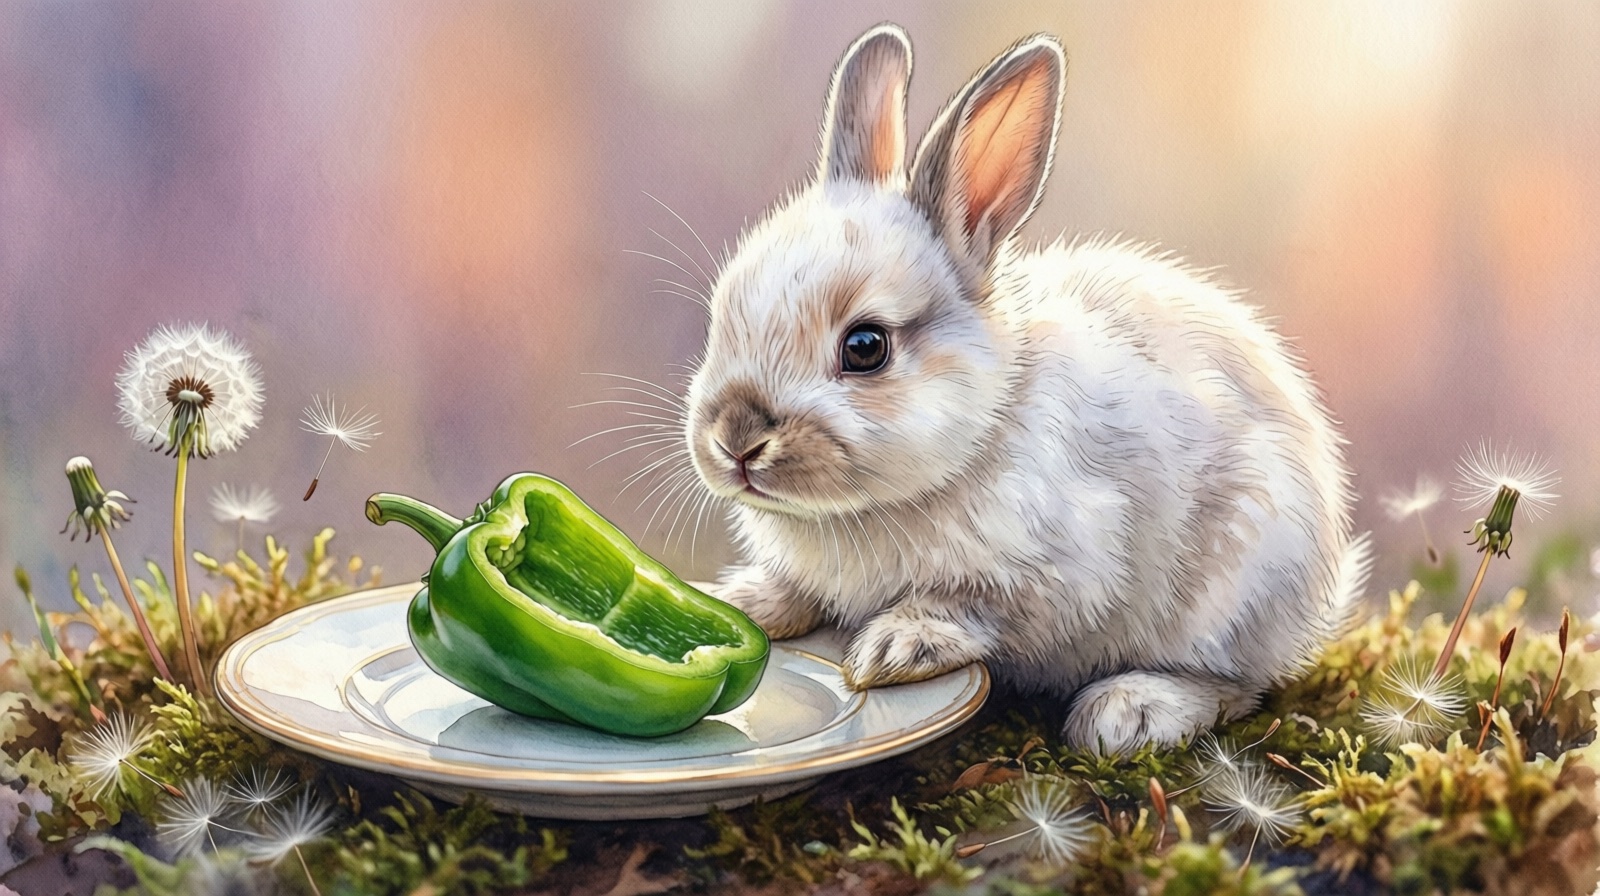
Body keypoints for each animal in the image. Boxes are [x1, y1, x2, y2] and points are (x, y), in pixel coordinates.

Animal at [682, 23, 1372, 755]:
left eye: (865, 347)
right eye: (723, 313)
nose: (736, 440)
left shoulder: (1054, 572)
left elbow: (974, 609)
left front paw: (897, 645)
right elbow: (795, 594)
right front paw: (745, 603)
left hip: (1235, 589)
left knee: (1237, 685)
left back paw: (1131, 711)